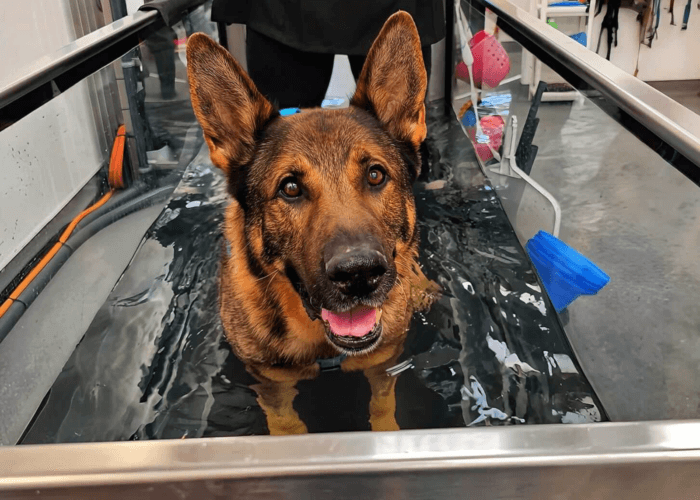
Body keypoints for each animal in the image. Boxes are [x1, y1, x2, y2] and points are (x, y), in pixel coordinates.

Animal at [186, 11, 438, 434]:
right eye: (290, 188)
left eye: (375, 175)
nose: (359, 274)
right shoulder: (270, 380)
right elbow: (286, 425)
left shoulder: (384, 360)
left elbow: (383, 405)